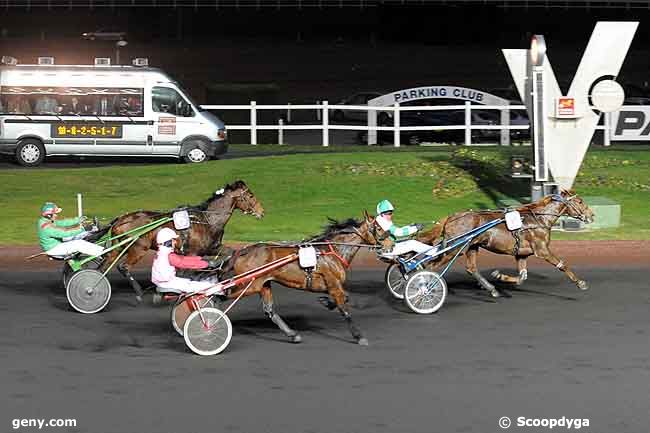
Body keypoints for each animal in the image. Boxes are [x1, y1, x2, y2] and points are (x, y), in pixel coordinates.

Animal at [97, 181, 262, 298]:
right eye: (251, 195)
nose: (262, 211)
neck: (207, 220)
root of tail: (121, 219)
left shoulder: (212, 247)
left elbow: (231, 253)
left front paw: (218, 272)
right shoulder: (192, 252)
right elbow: (186, 271)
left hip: (120, 246)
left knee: (105, 265)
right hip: (138, 248)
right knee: (123, 267)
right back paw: (138, 292)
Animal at [218, 212, 382, 344]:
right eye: (378, 228)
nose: (384, 245)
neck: (332, 251)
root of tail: (242, 251)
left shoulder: (331, 286)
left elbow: (345, 298)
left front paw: (326, 301)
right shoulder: (334, 285)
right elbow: (344, 310)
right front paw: (359, 336)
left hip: (263, 284)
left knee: (269, 310)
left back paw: (292, 334)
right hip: (249, 285)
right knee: (220, 296)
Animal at [416, 191, 592, 298]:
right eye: (580, 201)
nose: (592, 215)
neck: (539, 219)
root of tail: (452, 217)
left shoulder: (522, 254)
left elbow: (522, 277)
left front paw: (499, 275)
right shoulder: (542, 250)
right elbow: (562, 265)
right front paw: (580, 283)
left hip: (472, 246)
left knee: (471, 268)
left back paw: (492, 289)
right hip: (455, 248)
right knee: (431, 266)